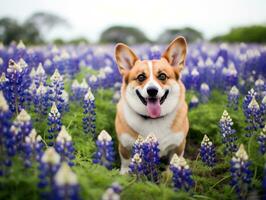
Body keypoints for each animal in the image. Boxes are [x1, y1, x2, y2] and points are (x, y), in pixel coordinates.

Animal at [114, 36, 189, 173]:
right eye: (141, 77)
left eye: (162, 76)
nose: (152, 90)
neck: (153, 120)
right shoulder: (125, 145)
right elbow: (126, 162)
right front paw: (124, 174)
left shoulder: (178, 145)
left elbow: (174, 163)